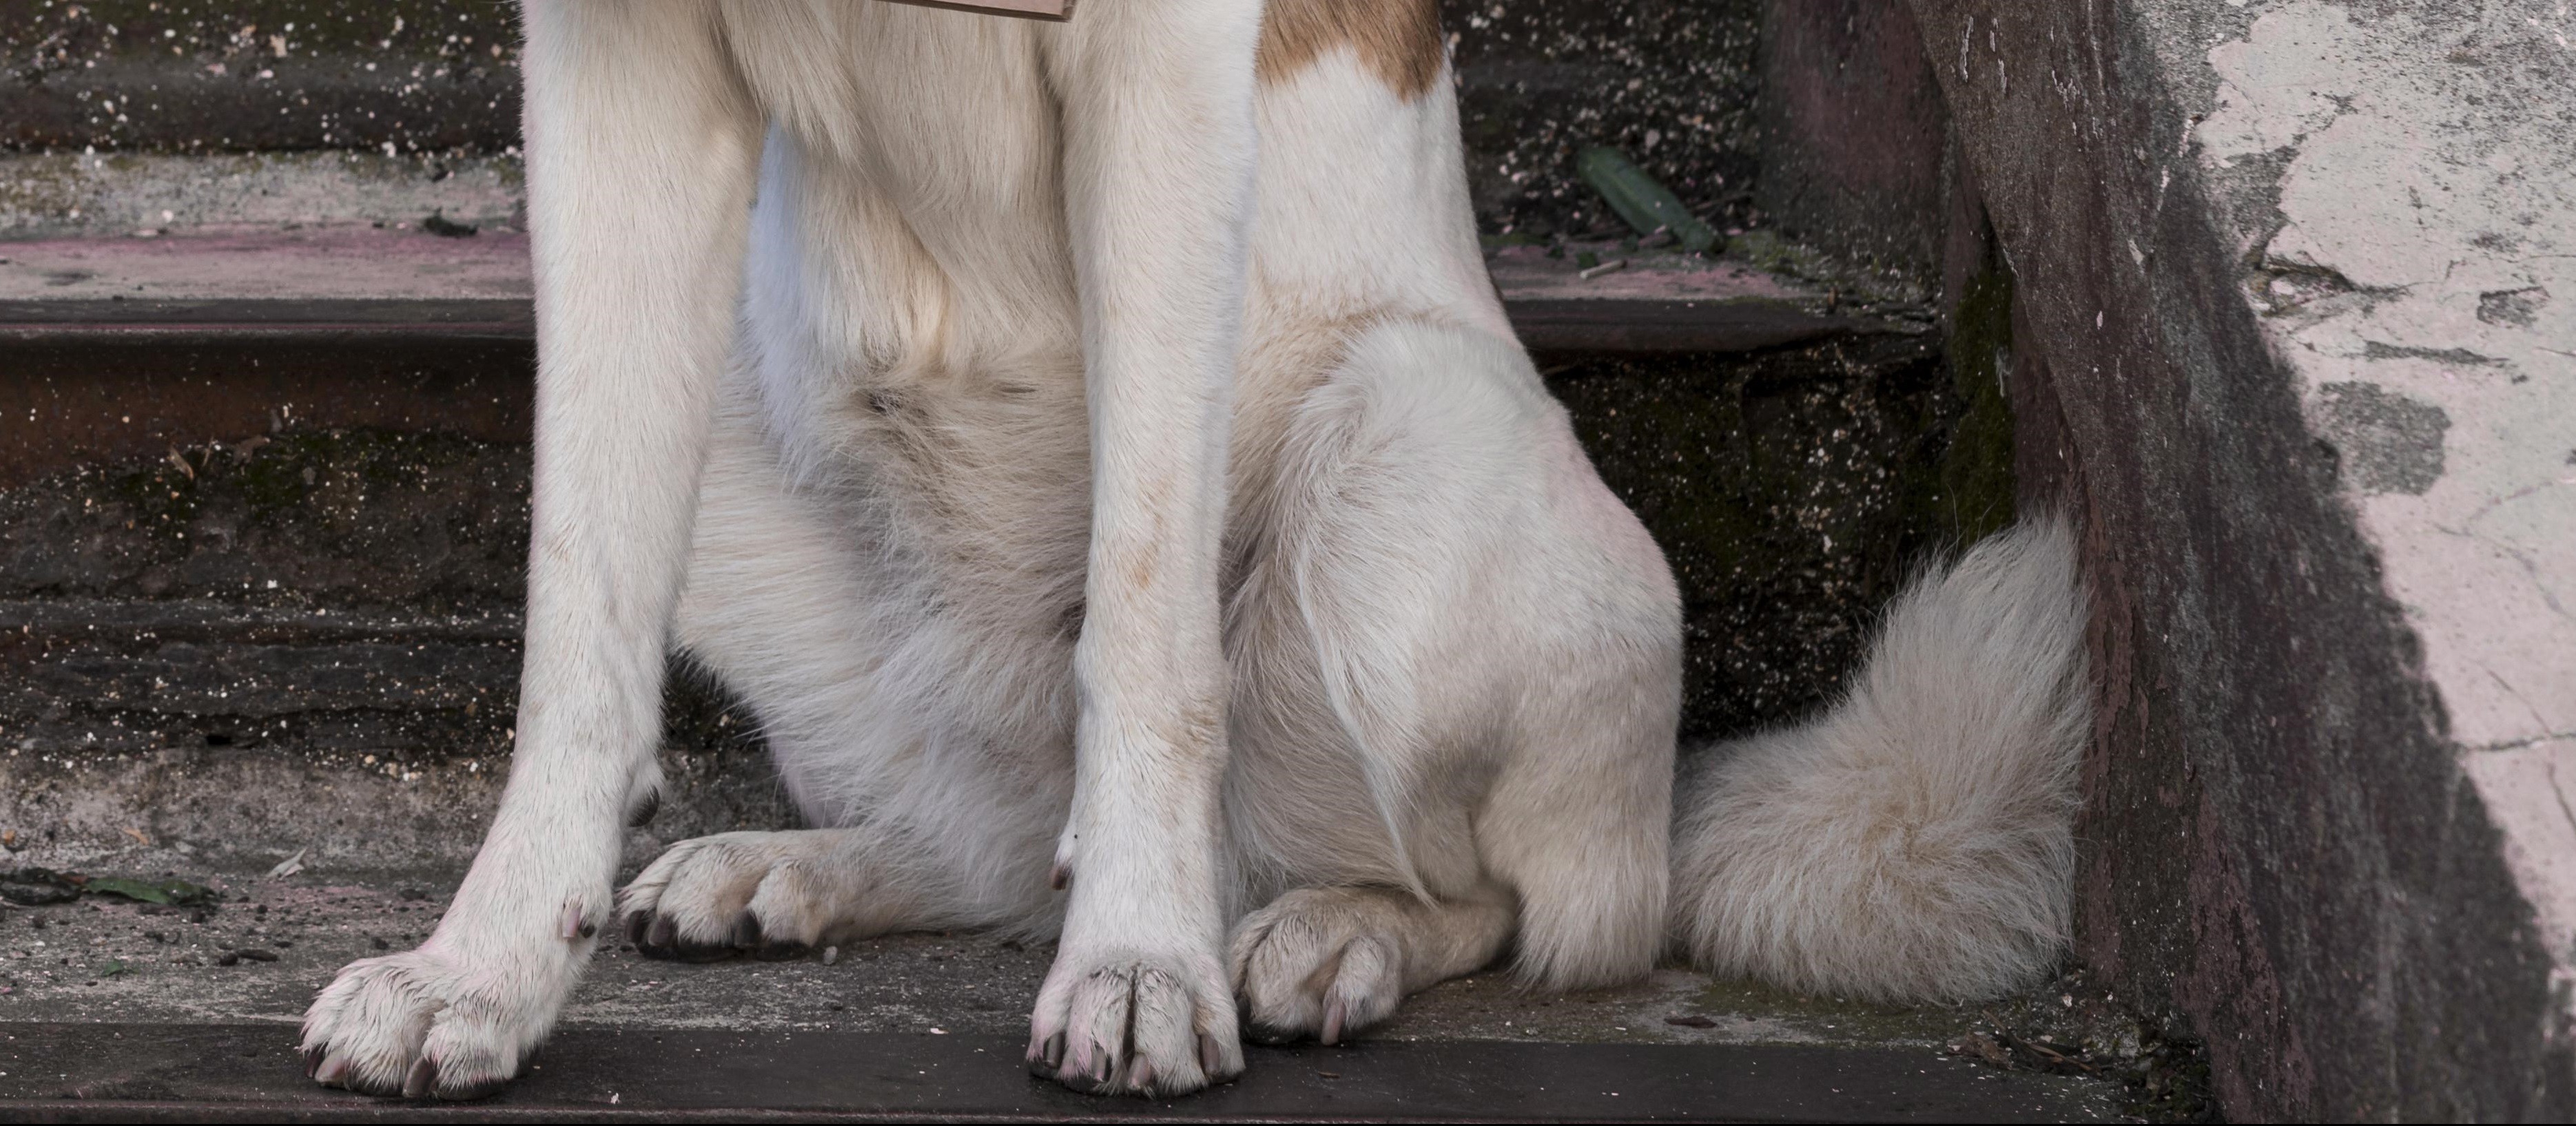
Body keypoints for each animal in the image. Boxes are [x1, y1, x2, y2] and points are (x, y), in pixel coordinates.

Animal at [296, 2, 2092, 1097]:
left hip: (1399, 447)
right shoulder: (611, 62)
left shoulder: (1160, 75)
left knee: (1528, 903)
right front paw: (482, 969)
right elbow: (576, 607)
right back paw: (792, 866)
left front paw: (1142, 960)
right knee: (999, 842)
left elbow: (1149, 618)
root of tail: (1663, 804)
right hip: (743, 451)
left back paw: (1321, 932)